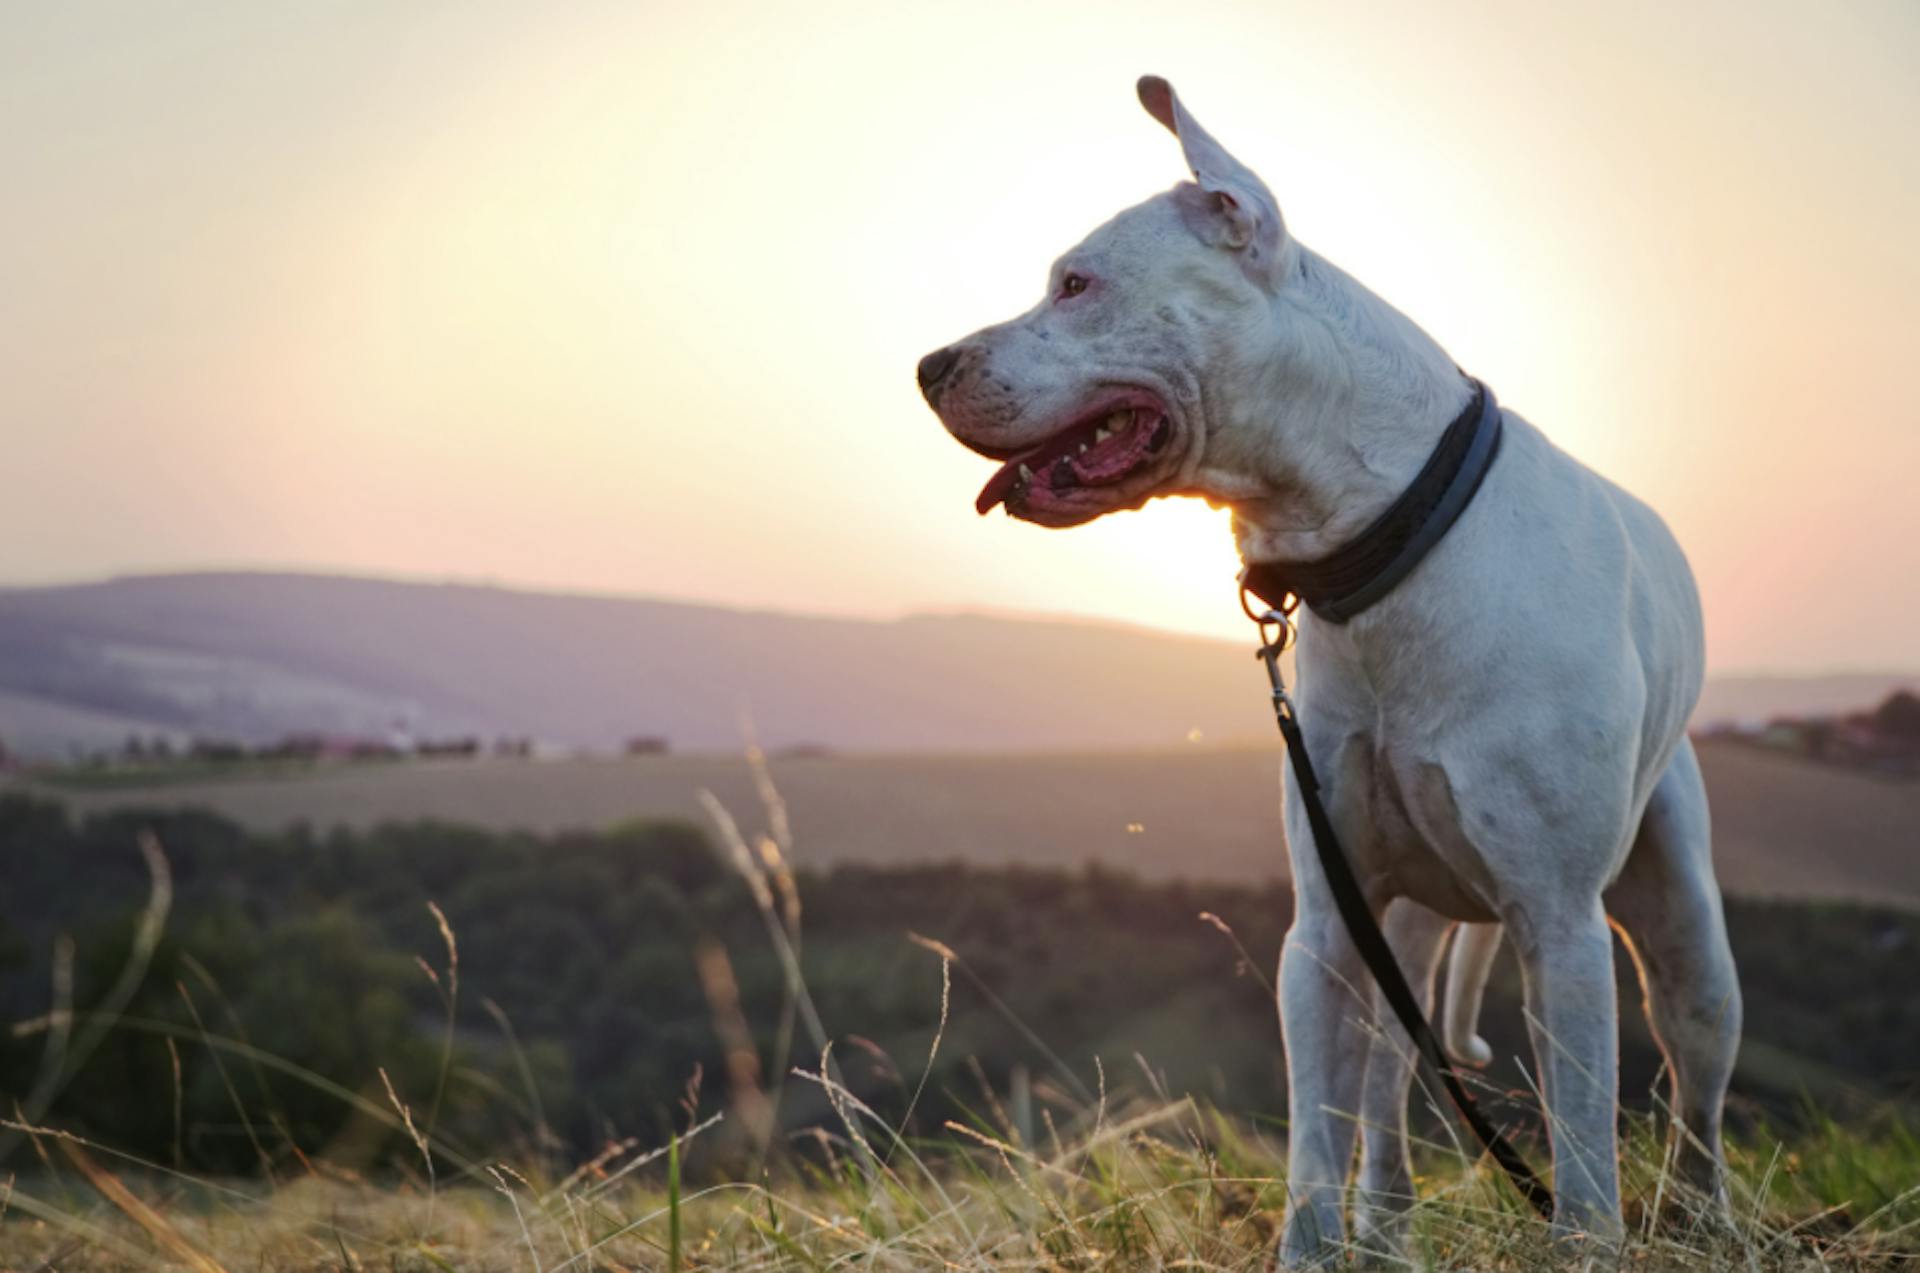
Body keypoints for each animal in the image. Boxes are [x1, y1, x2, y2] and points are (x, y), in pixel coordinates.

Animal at [913, 79, 1743, 1267]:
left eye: (1077, 283)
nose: (928, 367)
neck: (1387, 547)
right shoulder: (1321, 931)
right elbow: (1318, 1122)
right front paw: (1313, 1244)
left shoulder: (1560, 924)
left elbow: (1584, 1138)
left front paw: (1587, 1242)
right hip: (1403, 924)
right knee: (1393, 1082)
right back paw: (1385, 1227)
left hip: (1682, 930)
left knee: (1694, 1080)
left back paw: (1703, 1222)